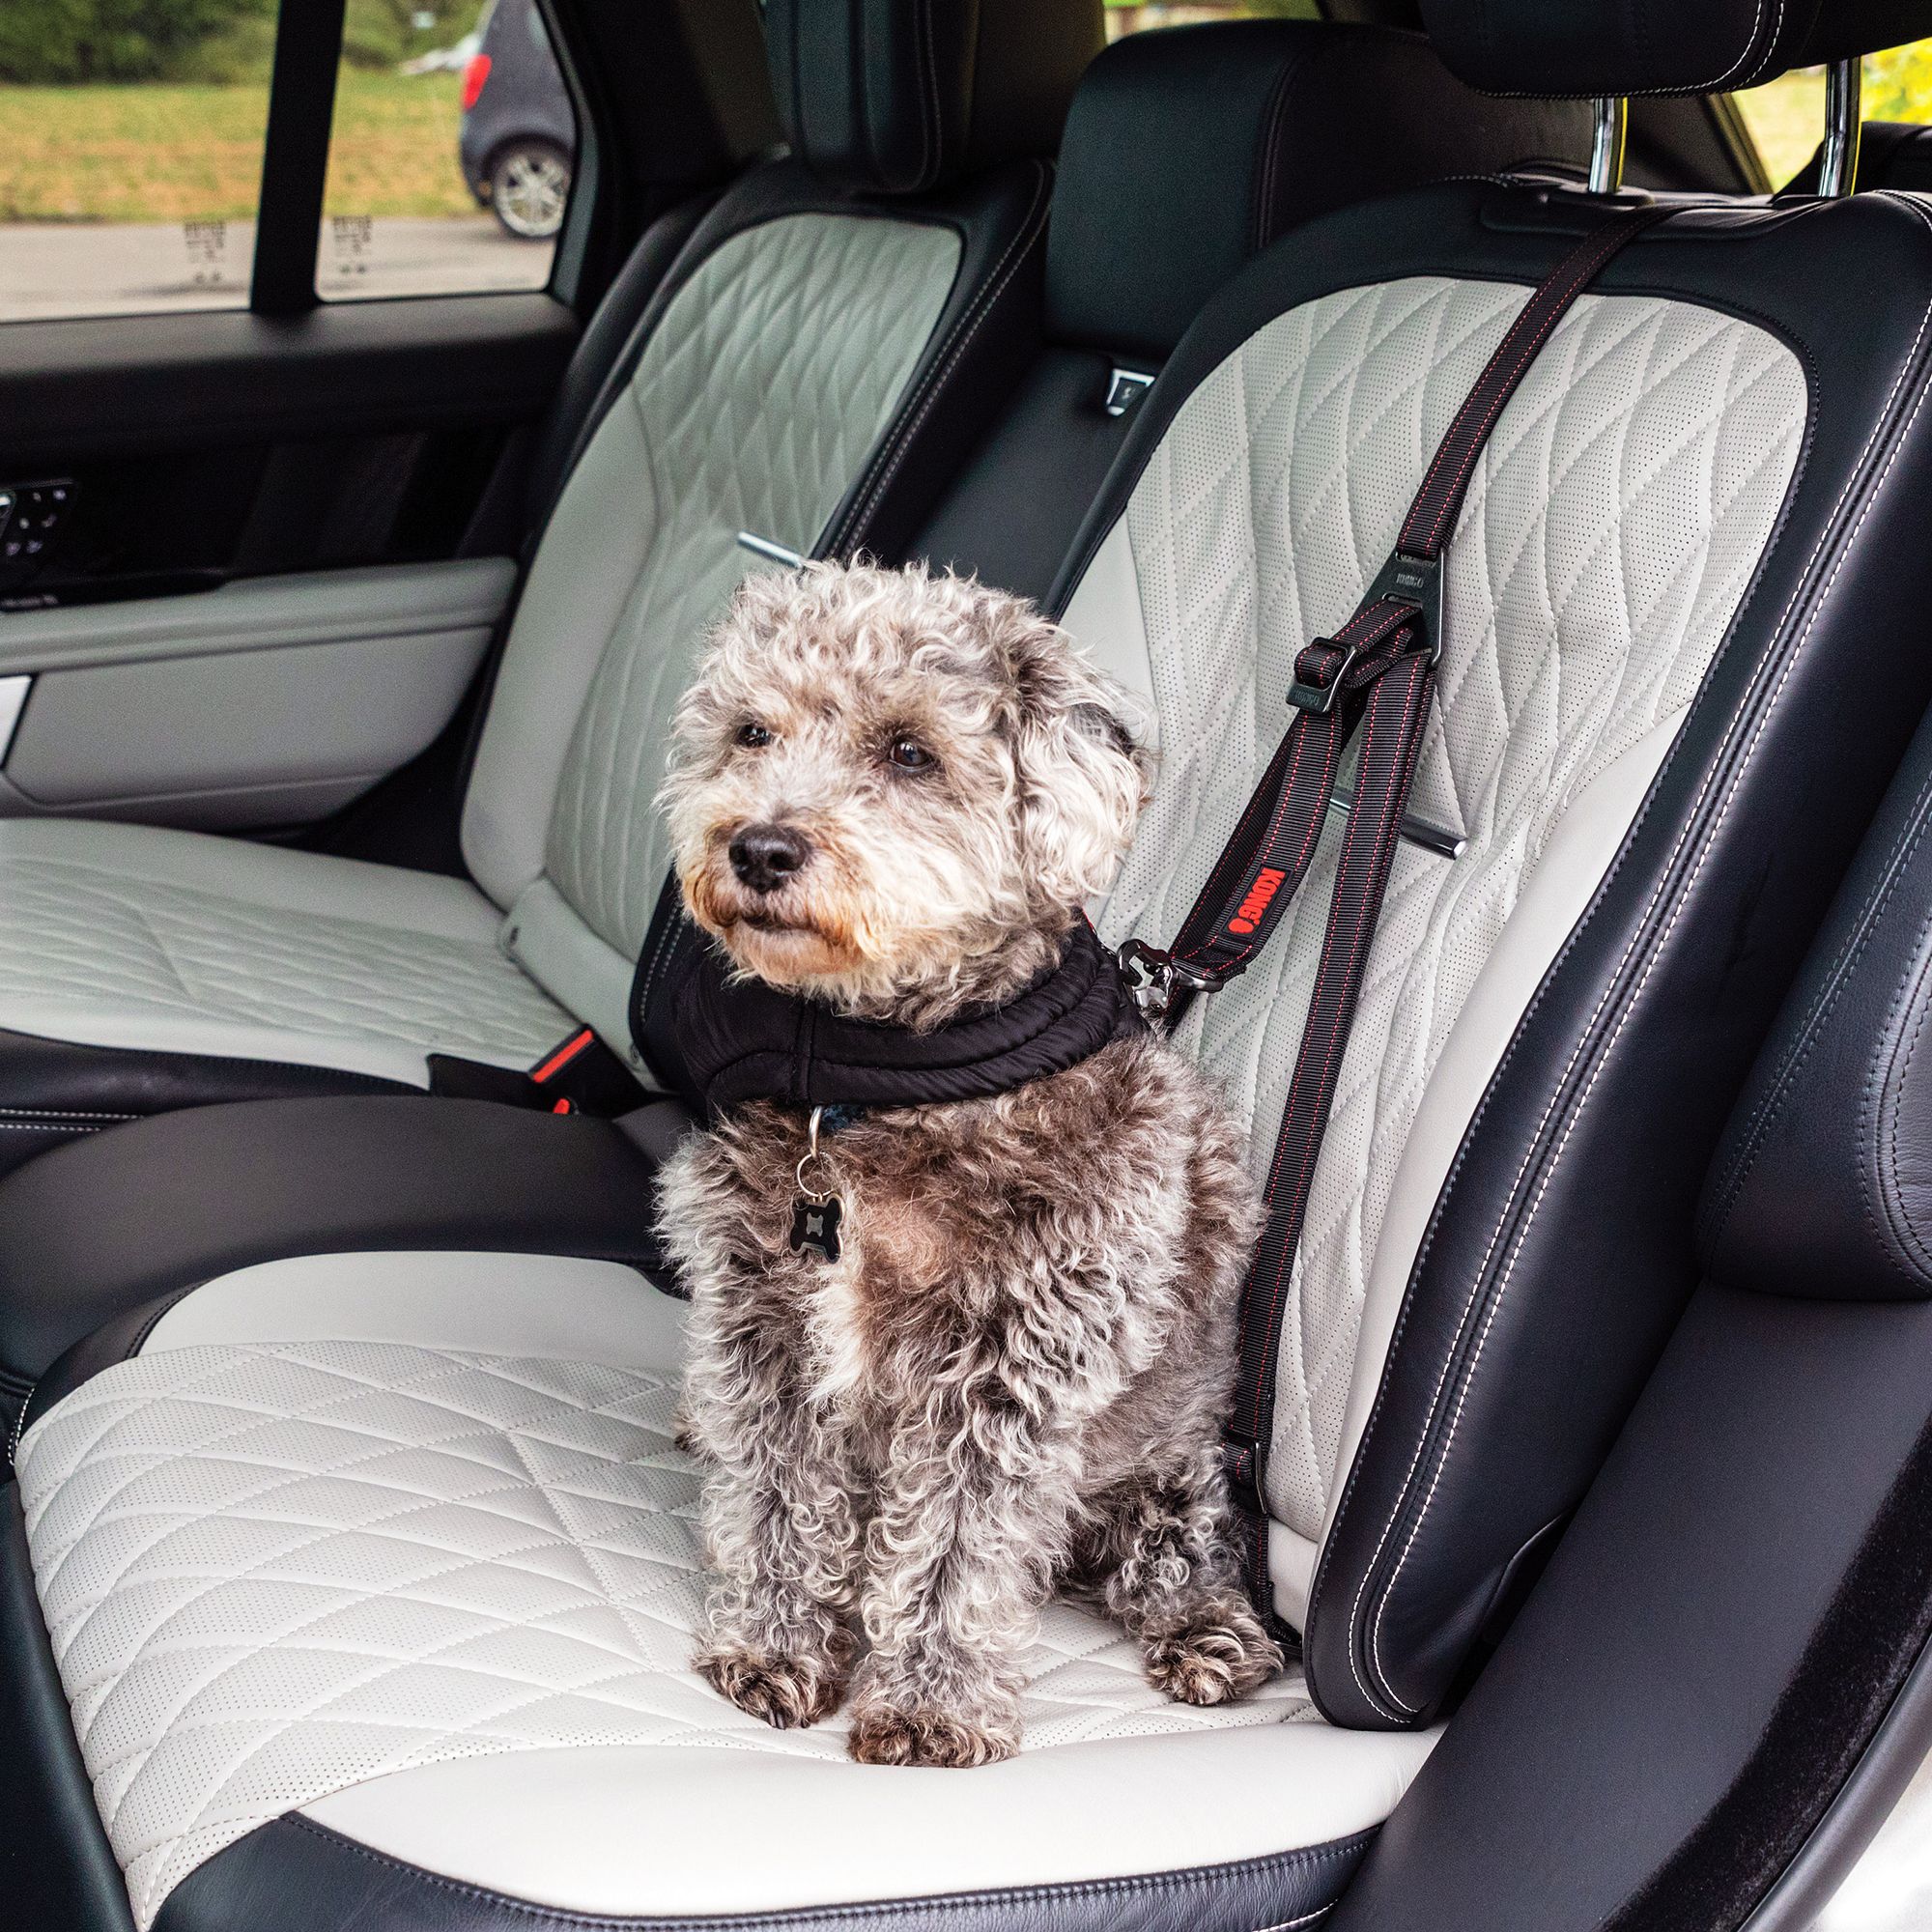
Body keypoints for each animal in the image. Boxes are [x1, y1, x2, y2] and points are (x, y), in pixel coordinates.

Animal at [661, 556, 1283, 1770]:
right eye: (751, 731)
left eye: (909, 751)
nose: (758, 846)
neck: (879, 1086)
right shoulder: (761, 1324)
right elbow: (772, 1493)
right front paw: (770, 1642)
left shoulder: (1006, 1366)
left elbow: (954, 1547)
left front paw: (929, 1703)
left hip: (1167, 1456)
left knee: (1178, 1547)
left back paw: (1210, 1632)